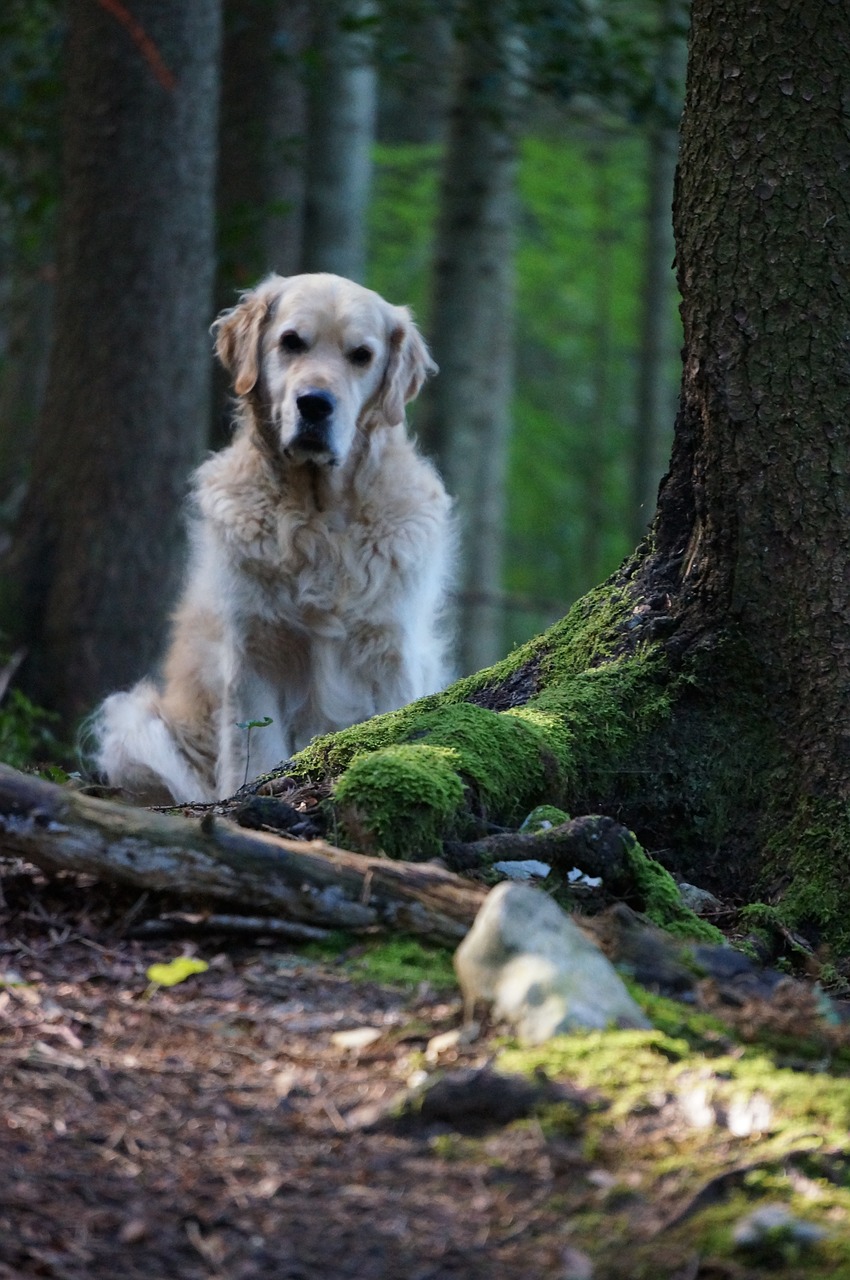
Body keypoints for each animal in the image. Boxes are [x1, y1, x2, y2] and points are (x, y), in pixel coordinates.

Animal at [89, 275, 455, 803]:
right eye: (291, 341)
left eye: (361, 355)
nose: (315, 403)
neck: (319, 517)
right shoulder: (254, 648)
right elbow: (256, 748)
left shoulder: (391, 648)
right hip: (134, 724)